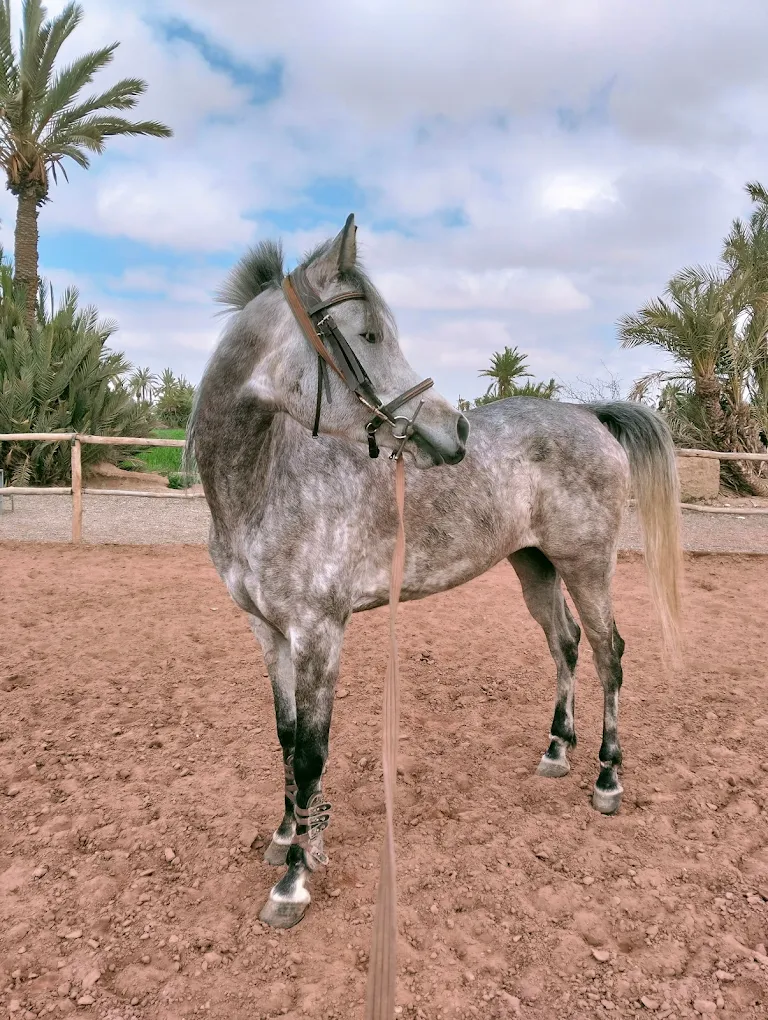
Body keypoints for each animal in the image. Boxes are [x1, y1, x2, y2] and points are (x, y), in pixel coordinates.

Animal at [188, 214, 683, 929]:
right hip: (534, 566)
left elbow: (311, 750)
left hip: (588, 566)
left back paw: (607, 779)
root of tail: (590, 414)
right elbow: (284, 737)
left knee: (608, 652)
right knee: (564, 645)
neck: (266, 483)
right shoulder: (269, 632)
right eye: (369, 335)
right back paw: (557, 751)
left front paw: (293, 881)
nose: (456, 432)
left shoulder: (320, 632)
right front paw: (286, 835)